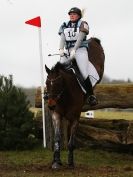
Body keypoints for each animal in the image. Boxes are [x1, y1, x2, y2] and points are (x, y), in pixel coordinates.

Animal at [44, 37, 105, 169]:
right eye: (46, 83)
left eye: (57, 84)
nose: (51, 105)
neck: (65, 95)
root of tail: (93, 40)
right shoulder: (56, 114)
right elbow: (57, 138)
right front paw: (56, 161)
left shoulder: (75, 118)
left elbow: (71, 142)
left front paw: (70, 163)